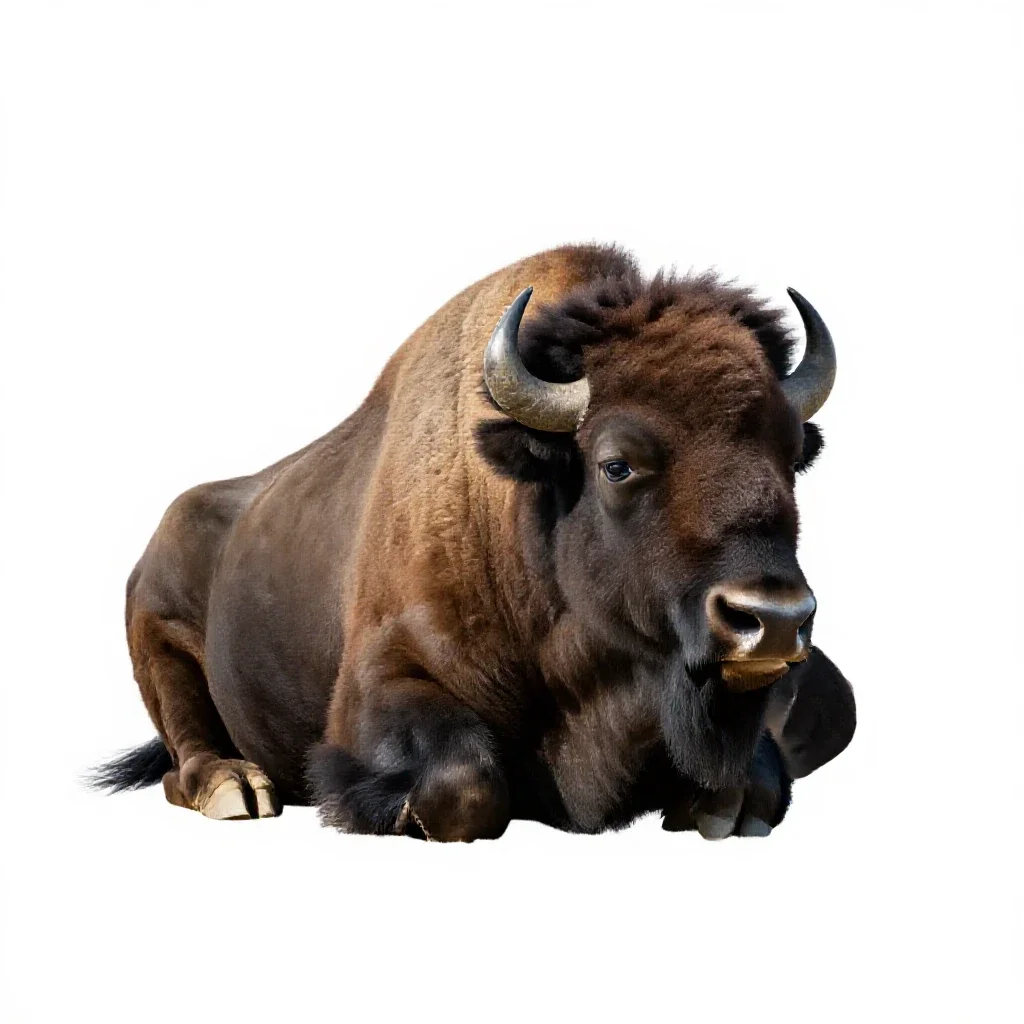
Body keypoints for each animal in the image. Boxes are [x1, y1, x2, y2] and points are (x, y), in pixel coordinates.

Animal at [94, 243, 855, 840]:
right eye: (617, 463)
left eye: (793, 457)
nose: (774, 620)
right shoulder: (378, 680)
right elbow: (465, 781)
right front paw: (392, 812)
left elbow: (750, 786)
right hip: (159, 645)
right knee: (185, 756)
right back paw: (238, 789)